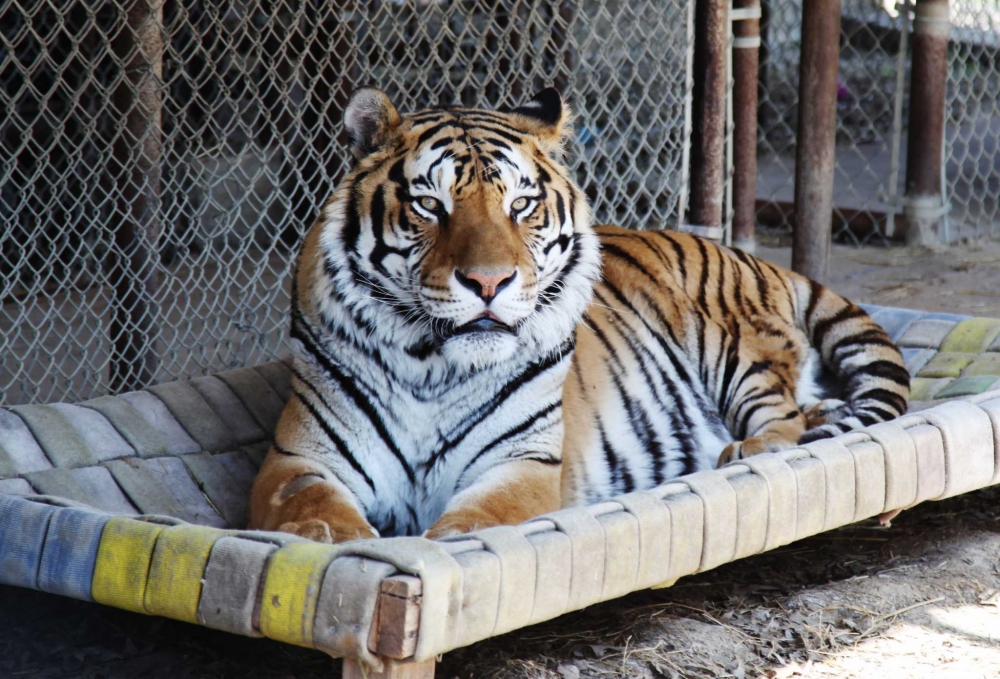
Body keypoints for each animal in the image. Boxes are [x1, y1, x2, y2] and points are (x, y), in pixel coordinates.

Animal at [246, 87, 912, 540]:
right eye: (430, 205)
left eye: (520, 205)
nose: (488, 282)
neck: (430, 364)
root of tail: (750, 257)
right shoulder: (300, 459)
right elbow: (311, 512)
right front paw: (344, 545)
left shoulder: (523, 465)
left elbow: (472, 524)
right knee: (811, 407)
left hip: (735, 348)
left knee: (787, 421)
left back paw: (749, 451)